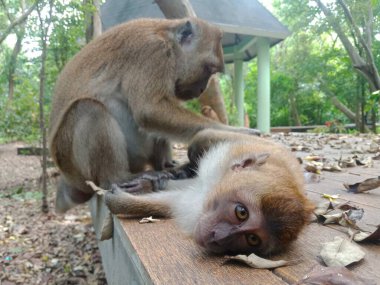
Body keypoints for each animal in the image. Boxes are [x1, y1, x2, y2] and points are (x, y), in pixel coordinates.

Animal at [48, 17, 255, 213]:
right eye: (209, 69)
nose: (203, 88)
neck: (168, 39)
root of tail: (68, 177)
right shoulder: (153, 53)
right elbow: (150, 110)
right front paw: (237, 132)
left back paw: (167, 166)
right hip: (74, 165)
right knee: (89, 108)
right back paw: (119, 177)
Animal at [104, 129, 314, 255]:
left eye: (252, 239)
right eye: (241, 212)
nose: (218, 237)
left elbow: (175, 201)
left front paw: (125, 200)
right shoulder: (232, 150)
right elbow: (204, 136)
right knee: (200, 140)